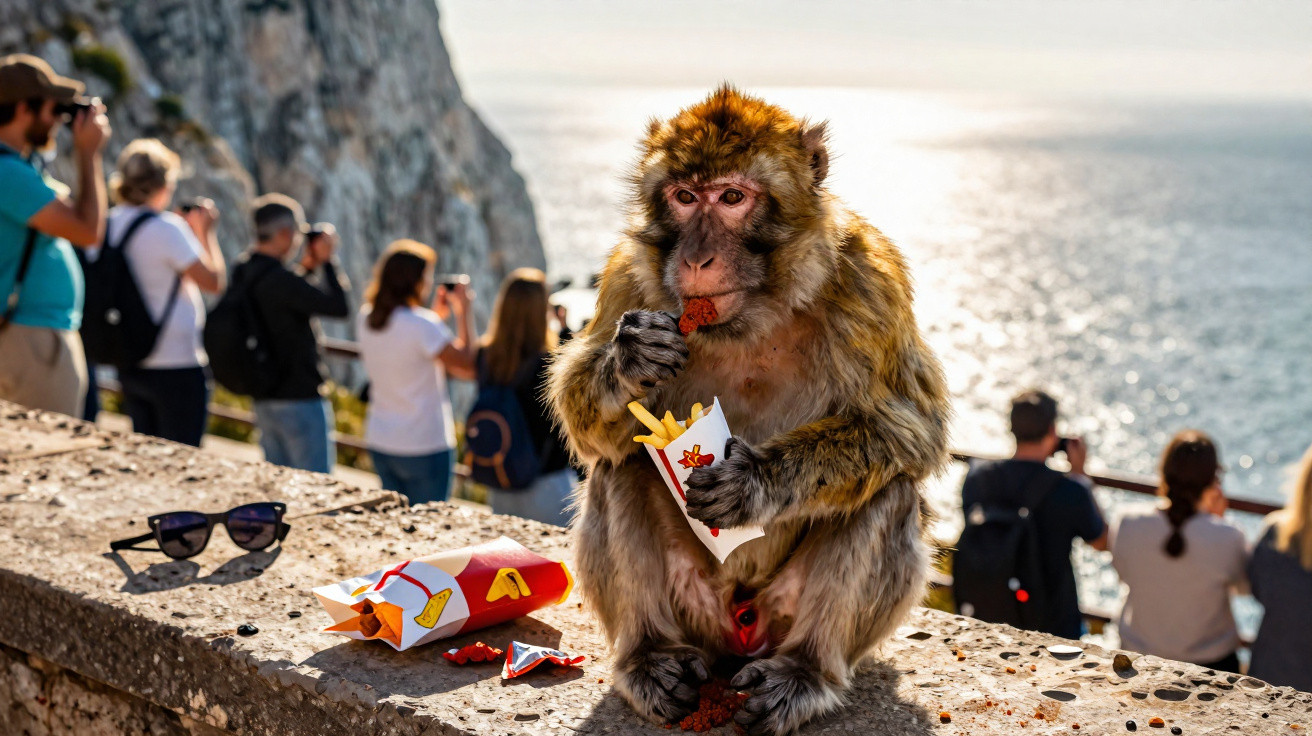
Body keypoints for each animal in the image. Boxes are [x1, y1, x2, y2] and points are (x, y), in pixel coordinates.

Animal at [548, 86, 951, 735]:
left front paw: (753, 480)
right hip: (696, 608)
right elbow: (589, 430)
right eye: (685, 197)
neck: (753, 315)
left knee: (886, 489)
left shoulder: (870, 280)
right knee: (621, 468)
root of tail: (736, 635)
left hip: (780, 614)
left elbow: (911, 430)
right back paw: (650, 656)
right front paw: (629, 358)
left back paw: (806, 673)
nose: (696, 260)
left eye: (733, 198)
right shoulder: (627, 276)